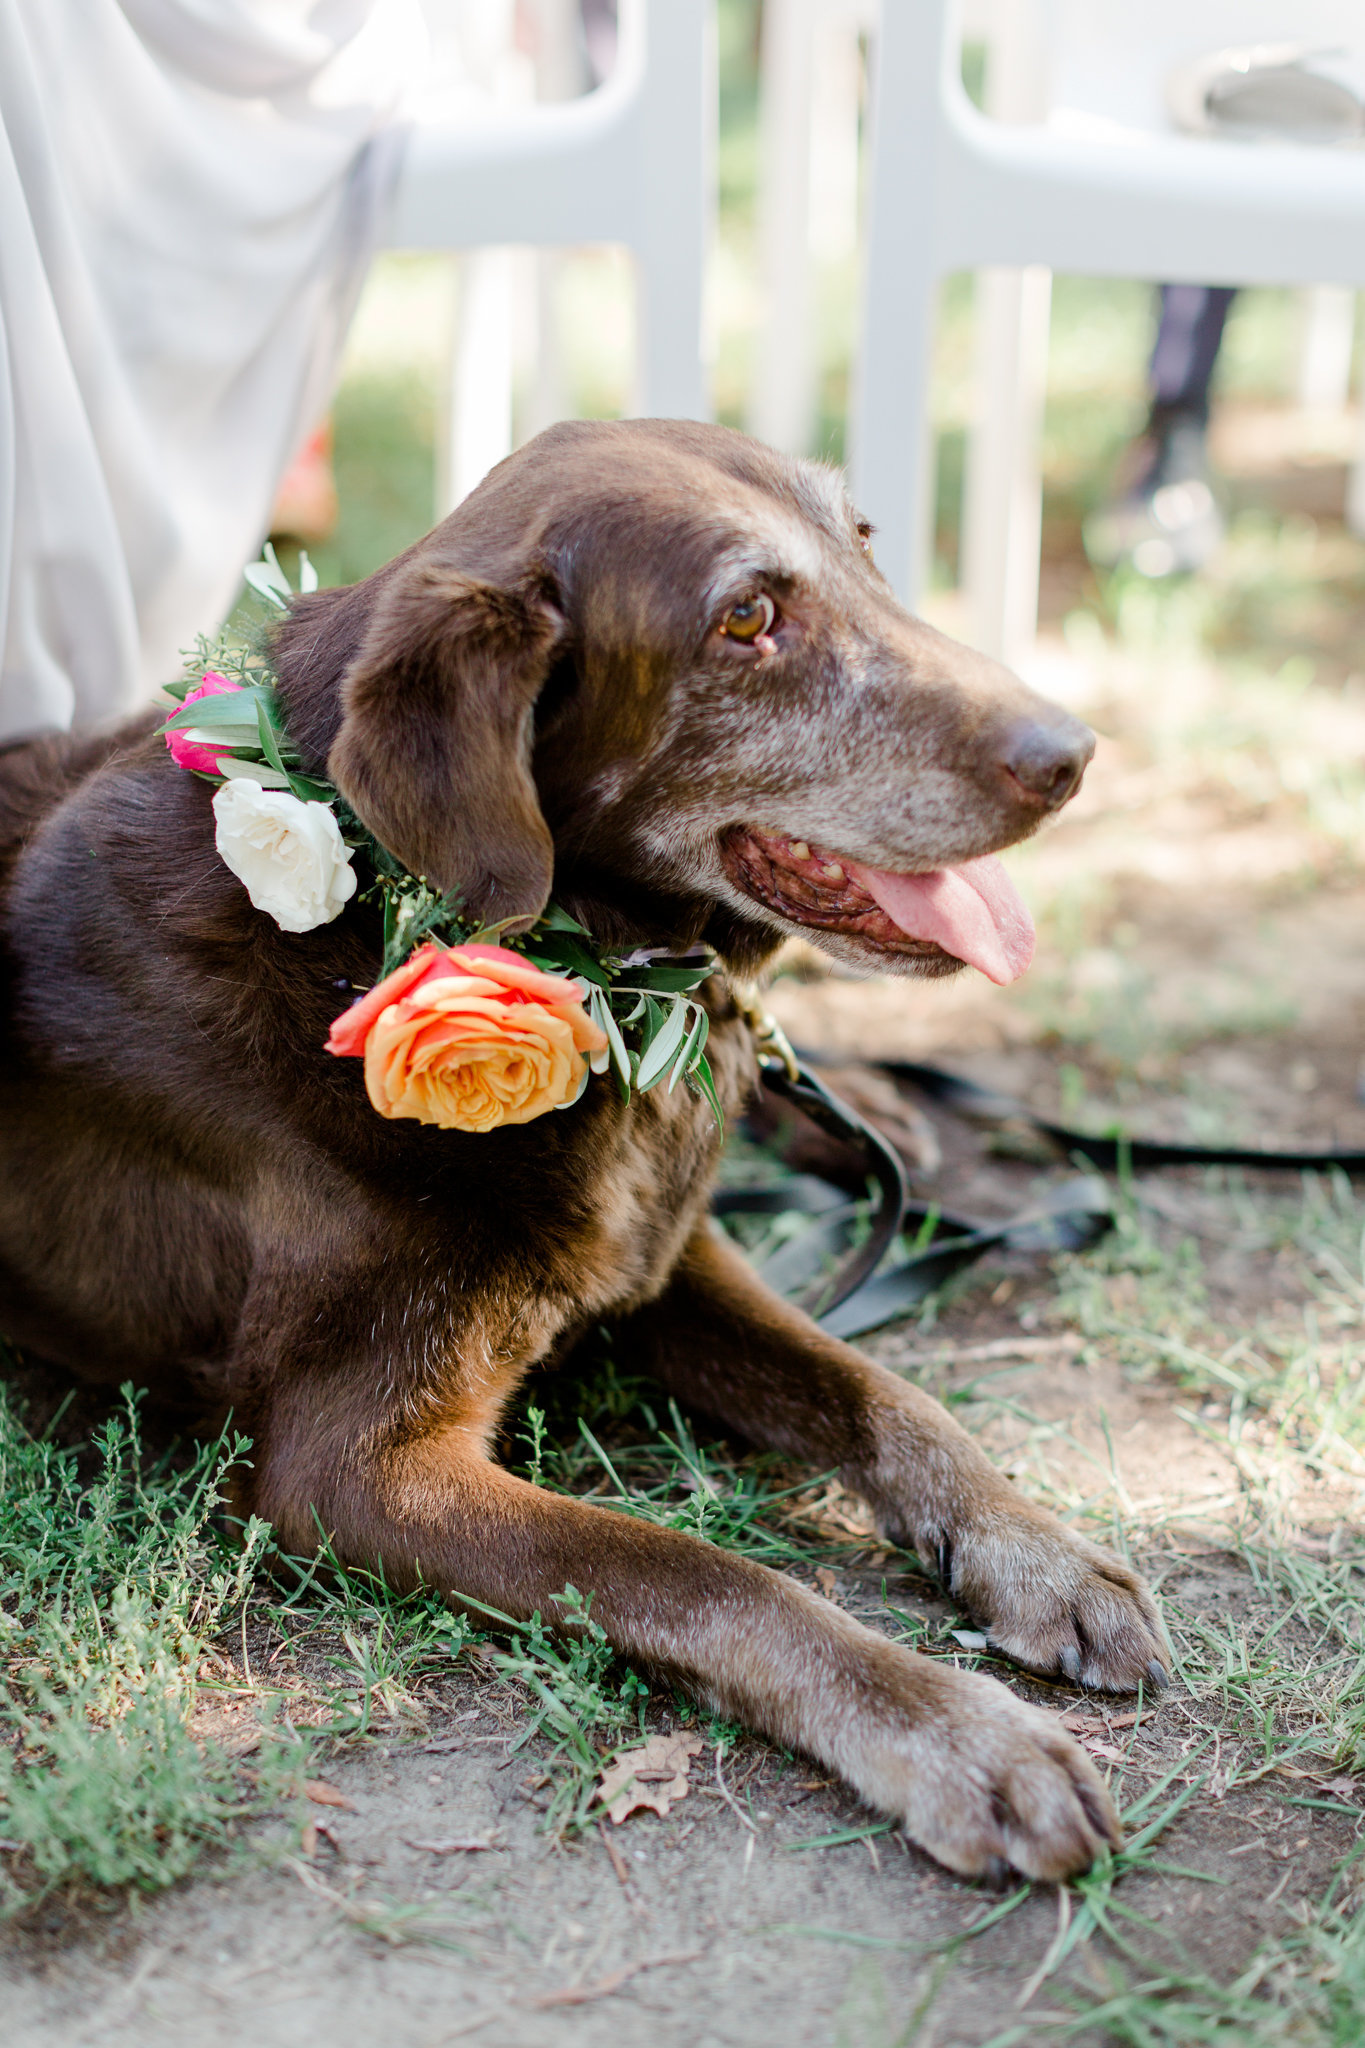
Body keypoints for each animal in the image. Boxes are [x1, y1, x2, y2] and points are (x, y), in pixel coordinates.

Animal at [0, 419, 1170, 1884]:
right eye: (746, 618)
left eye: (864, 545)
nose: (1074, 754)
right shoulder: (354, 1468)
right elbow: (702, 1573)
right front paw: (959, 1733)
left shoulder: (662, 1254)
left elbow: (886, 1393)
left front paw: (1037, 1550)